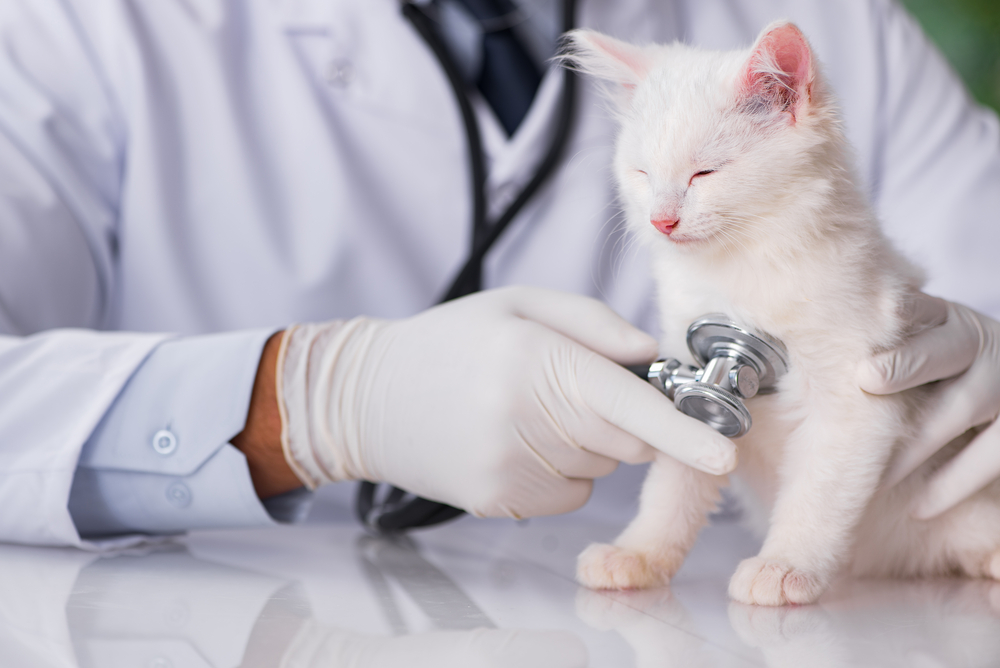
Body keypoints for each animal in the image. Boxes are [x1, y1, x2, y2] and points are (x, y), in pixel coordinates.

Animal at [568, 20, 1000, 604]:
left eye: (704, 173)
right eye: (642, 174)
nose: (661, 220)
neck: (744, 266)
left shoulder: (854, 401)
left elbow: (816, 495)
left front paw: (784, 565)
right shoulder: (691, 373)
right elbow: (673, 485)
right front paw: (638, 553)